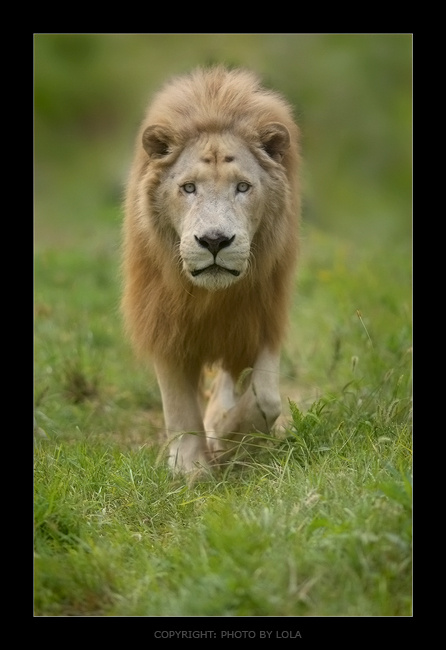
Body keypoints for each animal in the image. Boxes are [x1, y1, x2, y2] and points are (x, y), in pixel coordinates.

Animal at [121, 65, 301, 473]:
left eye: (243, 187)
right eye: (188, 188)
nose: (215, 241)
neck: (212, 296)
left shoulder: (262, 316)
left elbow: (266, 398)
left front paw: (228, 438)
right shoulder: (163, 319)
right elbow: (178, 405)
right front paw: (190, 467)